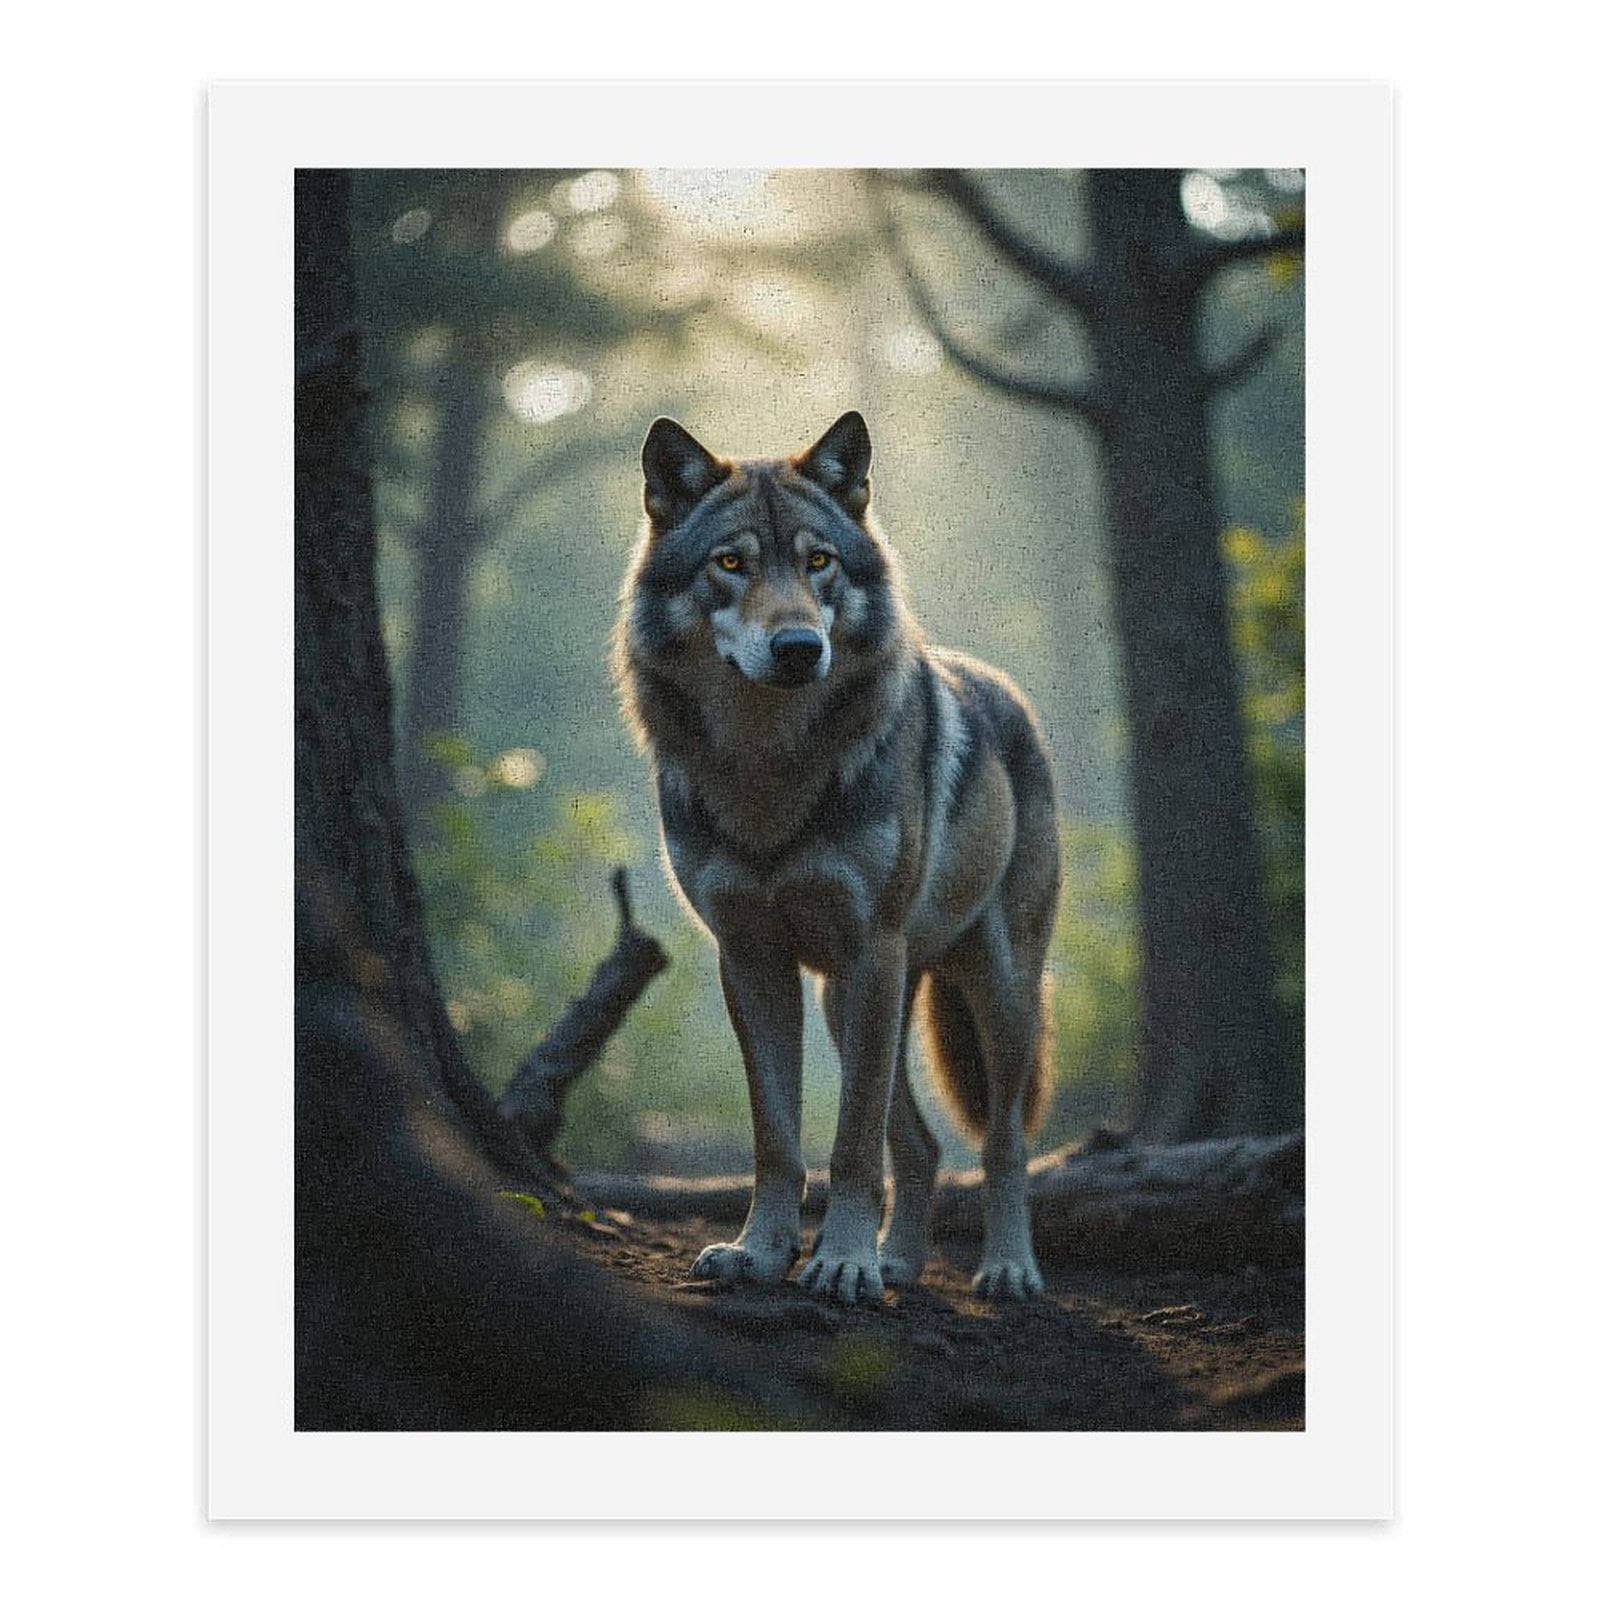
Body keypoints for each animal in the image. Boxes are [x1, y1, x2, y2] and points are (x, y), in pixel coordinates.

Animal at [614, 411, 1060, 1302]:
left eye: (818, 560)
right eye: (731, 563)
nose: (797, 647)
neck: (767, 769)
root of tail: (1003, 688)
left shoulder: (869, 952)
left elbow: (852, 1143)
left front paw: (843, 1262)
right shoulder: (751, 960)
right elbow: (778, 1139)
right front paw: (760, 1252)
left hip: (991, 993)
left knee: (1003, 1142)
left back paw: (1006, 1268)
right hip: (849, 1001)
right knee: (922, 1146)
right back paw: (900, 1263)